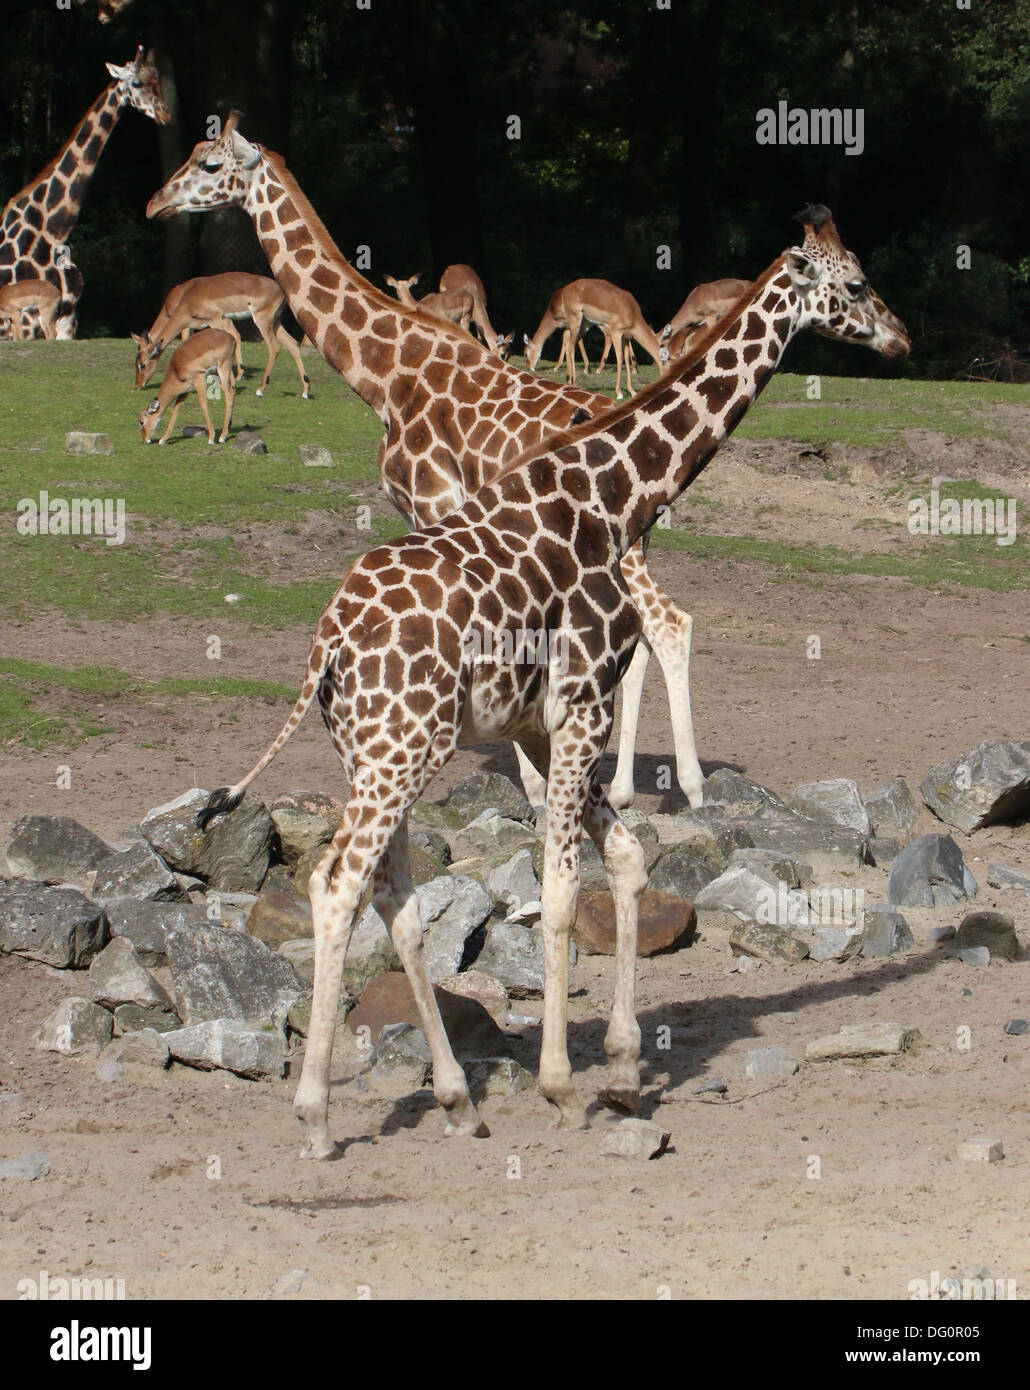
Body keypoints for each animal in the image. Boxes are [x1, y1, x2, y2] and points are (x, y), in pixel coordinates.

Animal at [0, 48, 169, 339]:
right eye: (136, 83)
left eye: (156, 80)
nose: (164, 114)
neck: (52, 231)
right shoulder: (31, 321)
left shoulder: (68, 321)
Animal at [146, 113, 702, 810]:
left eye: (211, 165)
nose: (154, 202)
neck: (386, 373)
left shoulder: (433, 505)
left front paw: (531, 789)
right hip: (626, 554)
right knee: (647, 637)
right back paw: (630, 787)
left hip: (617, 555)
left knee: (669, 626)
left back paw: (689, 787)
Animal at [193, 205, 909, 1157]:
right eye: (856, 283)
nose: (902, 338)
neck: (617, 495)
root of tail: (328, 646)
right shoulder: (581, 708)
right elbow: (565, 890)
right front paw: (565, 1085)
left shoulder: (548, 721)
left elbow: (628, 861)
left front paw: (626, 1069)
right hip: (399, 753)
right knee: (337, 883)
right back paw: (315, 1115)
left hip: (379, 751)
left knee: (393, 894)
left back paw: (458, 1099)